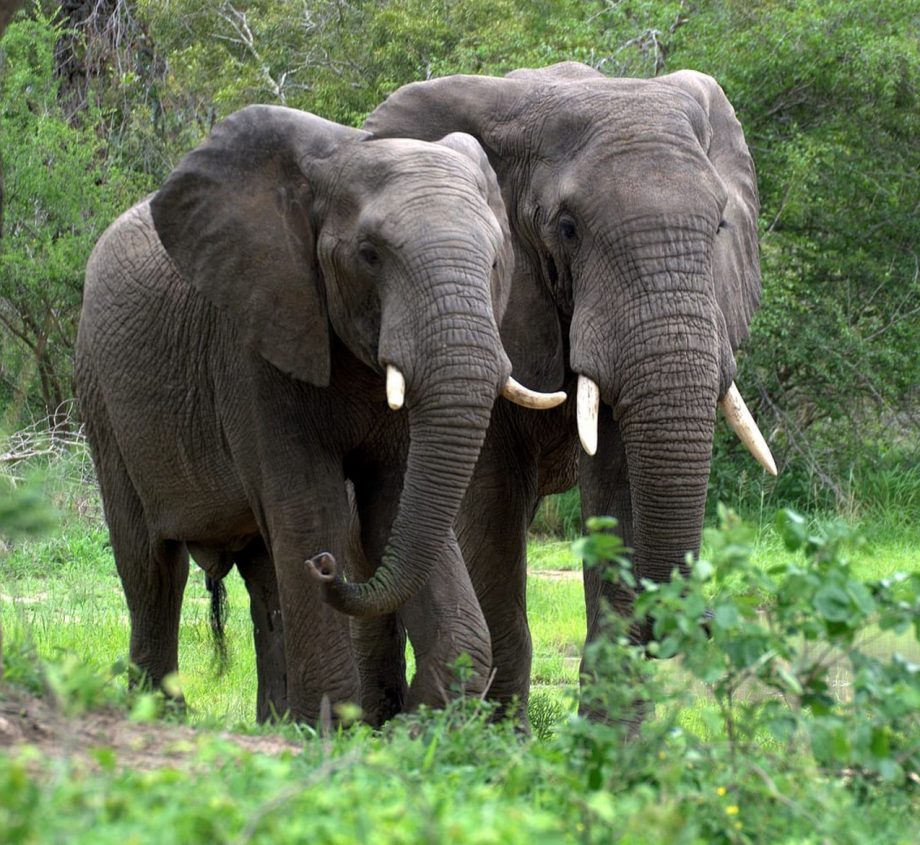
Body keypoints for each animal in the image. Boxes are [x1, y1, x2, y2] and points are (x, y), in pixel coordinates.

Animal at [77, 102, 568, 724]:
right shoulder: (252, 343)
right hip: (101, 393)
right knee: (152, 569)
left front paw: (407, 727)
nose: (329, 567)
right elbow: (308, 508)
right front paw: (328, 732)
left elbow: (396, 508)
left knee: (263, 576)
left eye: (498, 261)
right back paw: (162, 717)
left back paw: (275, 723)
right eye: (369, 254)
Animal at [358, 62, 776, 720]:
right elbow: (490, 506)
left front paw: (609, 739)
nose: (703, 620)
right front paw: (499, 736)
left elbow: (620, 482)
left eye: (718, 226)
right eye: (568, 229)